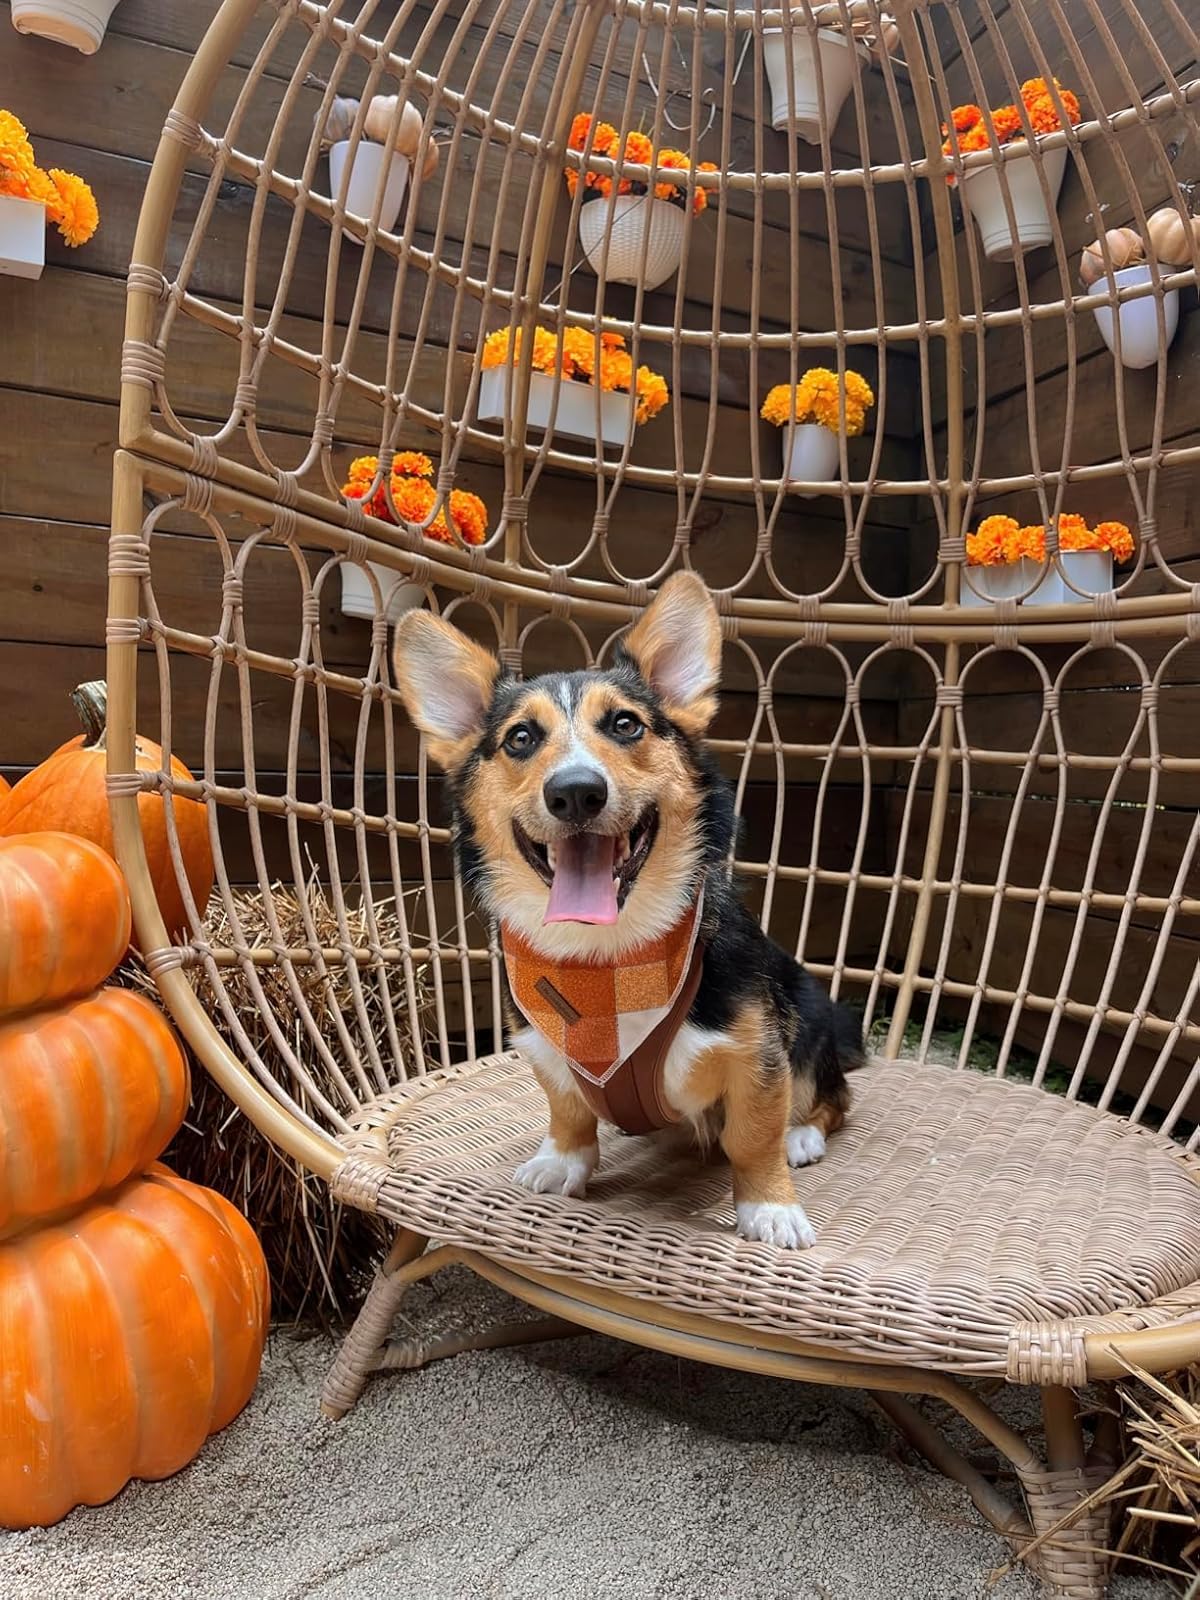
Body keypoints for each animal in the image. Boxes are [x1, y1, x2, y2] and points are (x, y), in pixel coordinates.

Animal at [395, 572, 864, 1248]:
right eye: (520, 738)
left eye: (625, 724)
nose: (575, 792)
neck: (607, 961)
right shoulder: (545, 1049)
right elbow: (567, 1110)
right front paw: (562, 1162)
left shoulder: (759, 1054)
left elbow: (753, 1138)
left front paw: (769, 1208)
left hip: (809, 1012)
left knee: (832, 1096)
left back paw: (802, 1135)